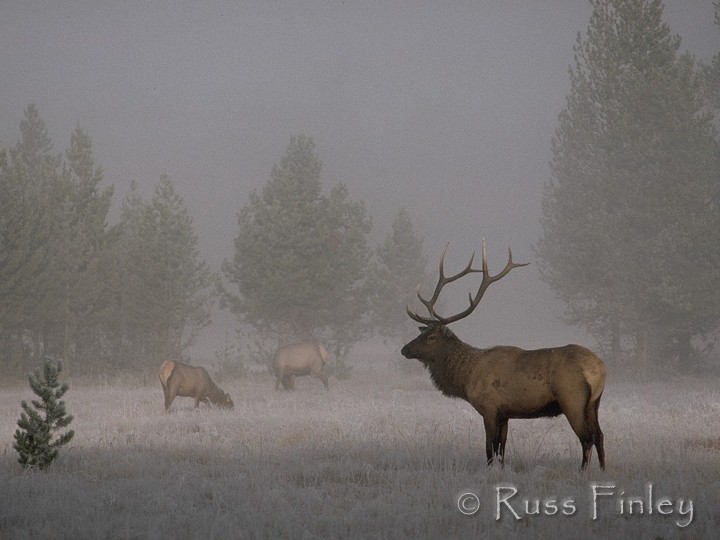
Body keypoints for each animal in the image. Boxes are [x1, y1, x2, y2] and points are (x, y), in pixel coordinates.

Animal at [401, 241, 606, 470]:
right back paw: (603, 470)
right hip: (594, 403)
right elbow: (502, 448)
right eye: (422, 332)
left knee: (587, 437)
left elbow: (490, 447)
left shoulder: (489, 407)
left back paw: (583, 471)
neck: (467, 377)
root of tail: (600, 368)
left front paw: (490, 470)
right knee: (600, 435)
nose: (404, 349)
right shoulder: (505, 414)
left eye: (431, 337)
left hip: (573, 400)